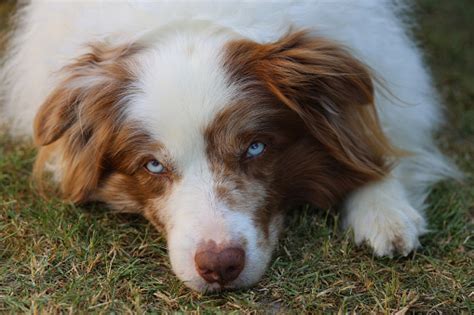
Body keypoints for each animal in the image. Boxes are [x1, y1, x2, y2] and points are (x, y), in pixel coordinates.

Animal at [0, 0, 460, 294]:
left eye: (255, 148)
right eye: (152, 166)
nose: (220, 266)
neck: (190, 13)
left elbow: (381, 143)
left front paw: (384, 210)